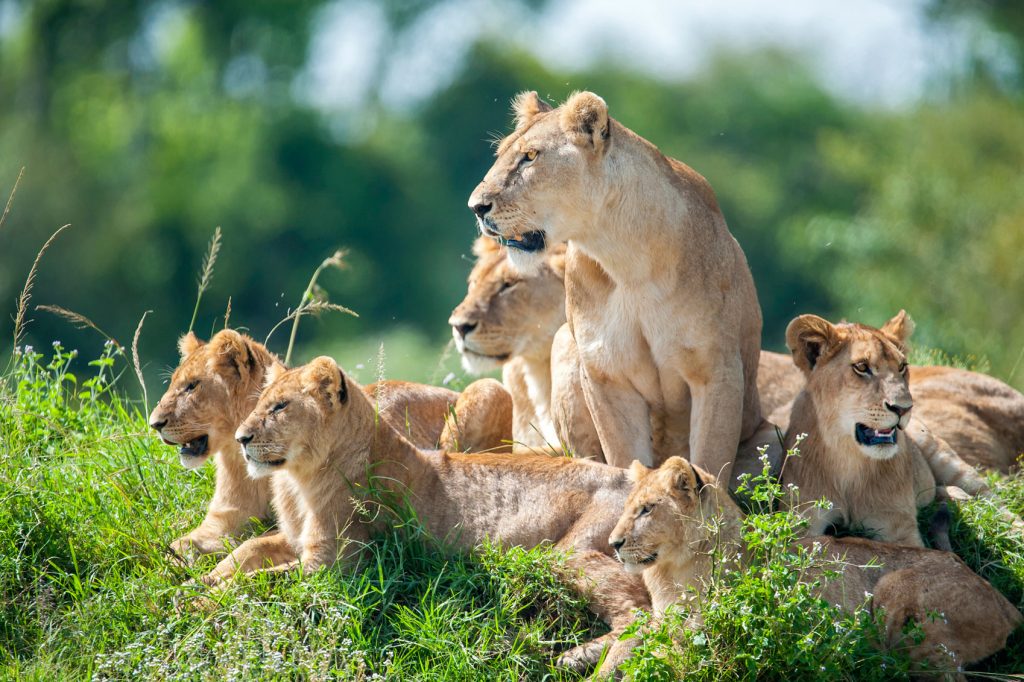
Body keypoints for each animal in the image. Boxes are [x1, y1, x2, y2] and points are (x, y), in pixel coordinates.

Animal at [149, 329, 512, 559]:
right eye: (174, 383)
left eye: (192, 386)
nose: (154, 423)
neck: (239, 462)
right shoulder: (224, 521)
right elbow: (176, 546)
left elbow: (249, 546)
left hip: (487, 389)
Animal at [197, 356, 650, 675]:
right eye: (260, 404)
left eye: (280, 407)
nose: (241, 438)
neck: (298, 481)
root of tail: (640, 478)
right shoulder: (293, 541)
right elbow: (246, 553)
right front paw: (198, 580)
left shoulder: (333, 568)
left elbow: (260, 584)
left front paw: (199, 601)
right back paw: (574, 658)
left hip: (569, 552)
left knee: (642, 612)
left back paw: (596, 668)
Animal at [467, 90, 773, 484]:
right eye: (501, 154)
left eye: (530, 157)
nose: (476, 206)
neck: (626, 260)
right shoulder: (606, 374)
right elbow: (625, 458)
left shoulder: (717, 371)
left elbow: (710, 465)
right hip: (564, 343)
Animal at [610, 456, 1022, 676]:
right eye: (629, 506)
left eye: (646, 510)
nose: (613, 544)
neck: (669, 572)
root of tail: (1007, 603)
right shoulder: (665, 617)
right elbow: (630, 639)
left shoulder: (711, 622)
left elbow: (666, 651)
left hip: (896, 588)